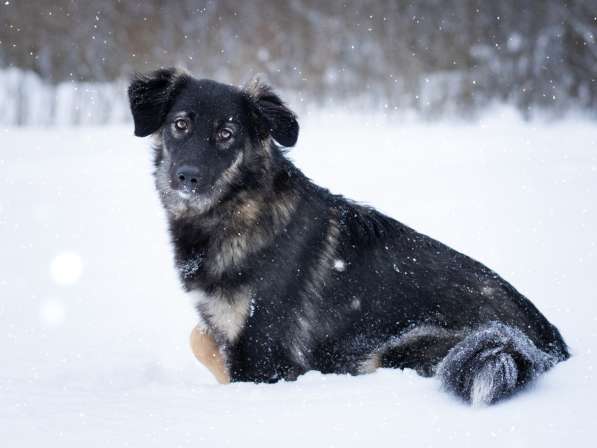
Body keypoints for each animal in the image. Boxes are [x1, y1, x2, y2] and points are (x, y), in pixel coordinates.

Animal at [127, 69, 568, 406]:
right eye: (180, 124)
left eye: (226, 134)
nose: (187, 177)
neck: (238, 207)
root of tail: (546, 346)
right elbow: (200, 336)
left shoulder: (264, 353)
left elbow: (219, 351)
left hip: (408, 346)